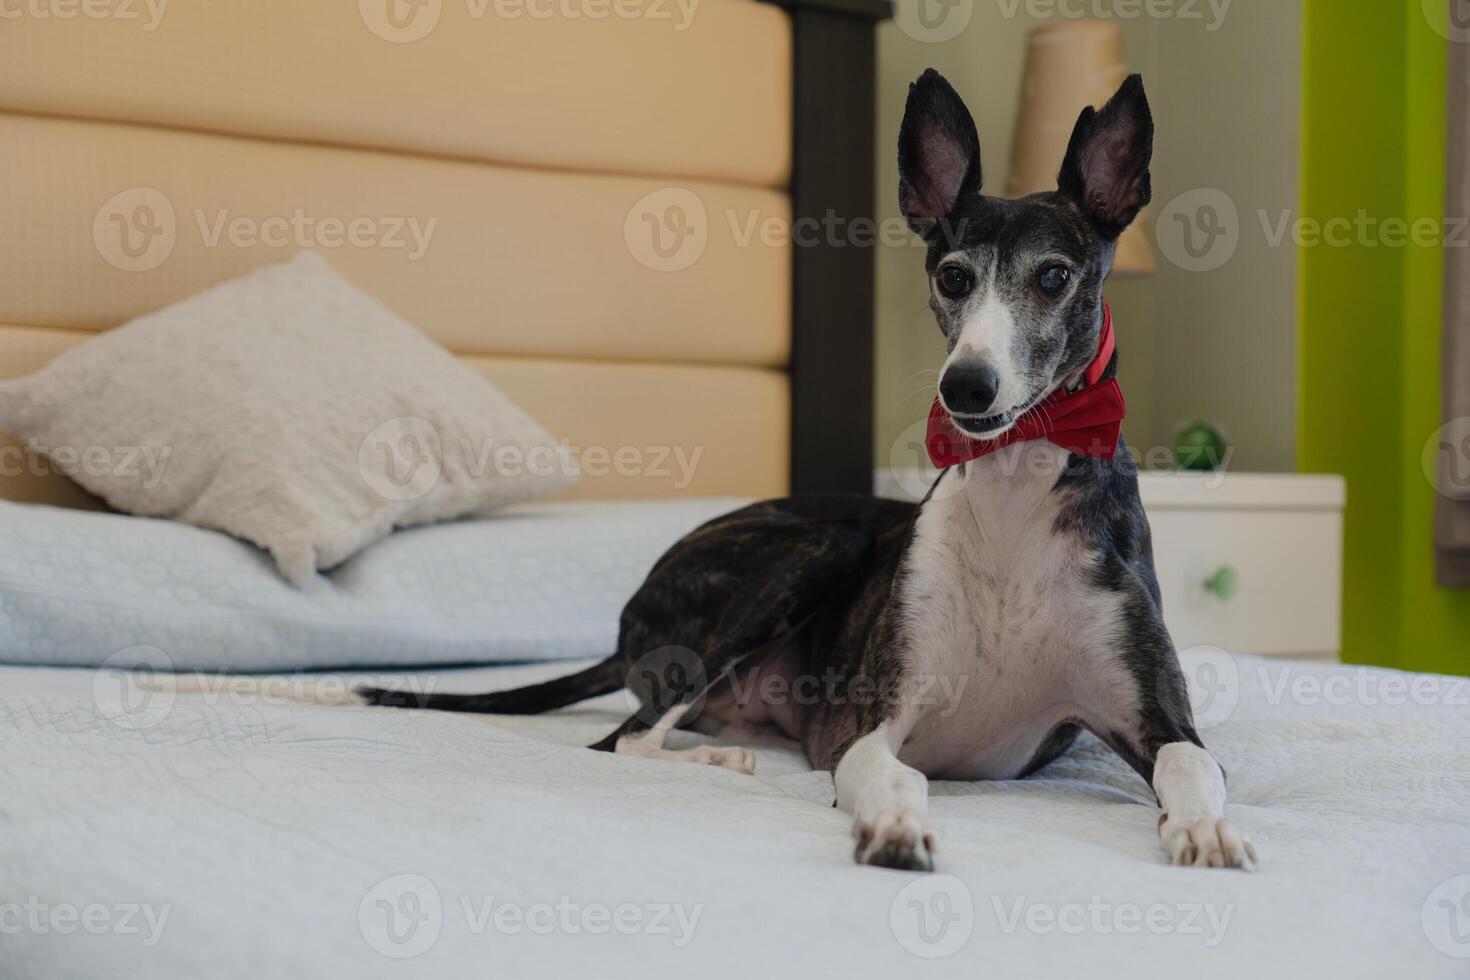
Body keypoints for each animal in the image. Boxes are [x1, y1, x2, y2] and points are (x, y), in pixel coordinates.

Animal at [361, 72, 1258, 875]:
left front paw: (1206, 830)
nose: (967, 388)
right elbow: (893, 776)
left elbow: (1194, 765)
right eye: (953, 276)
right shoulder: (871, 723)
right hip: (820, 548)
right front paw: (895, 828)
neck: (1011, 491)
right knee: (624, 736)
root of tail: (627, 628)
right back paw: (713, 761)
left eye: (1054, 276)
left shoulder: (1153, 716)